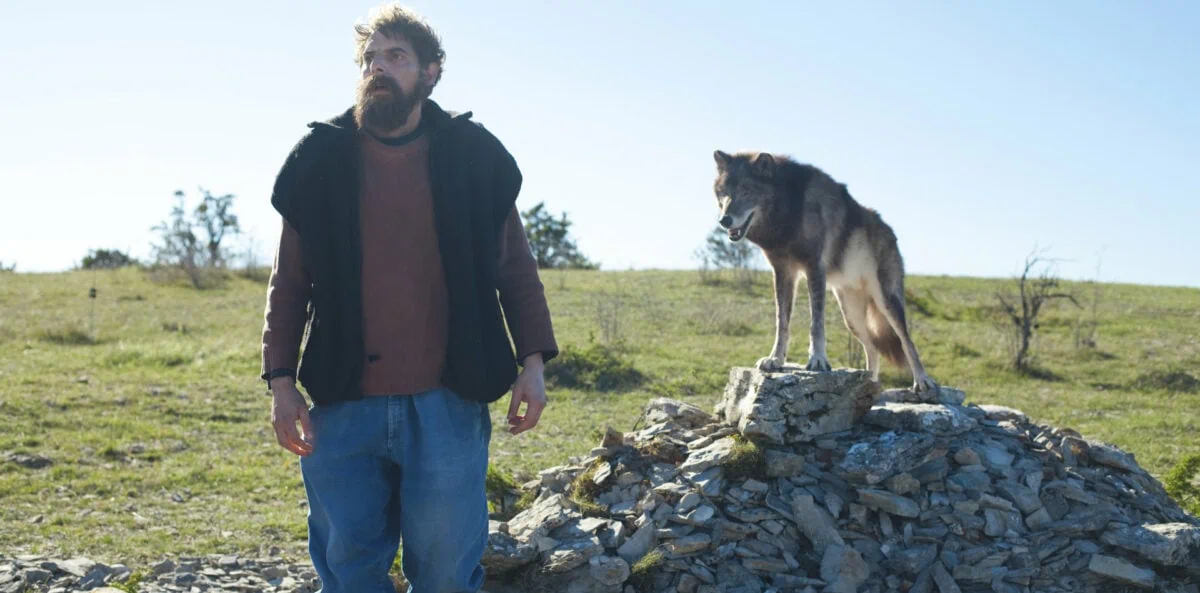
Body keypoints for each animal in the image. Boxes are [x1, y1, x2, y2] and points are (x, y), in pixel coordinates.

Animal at [705, 147, 940, 391]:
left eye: (746, 191)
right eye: (723, 193)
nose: (724, 220)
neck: (789, 209)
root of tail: (891, 232)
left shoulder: (814, 267)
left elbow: (816, 322)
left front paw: (817, 360)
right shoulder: (783, 272)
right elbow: (782, 322)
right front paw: (775, 359)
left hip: (886, 302)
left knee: (906, 341)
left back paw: (922, 381)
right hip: (851, 317)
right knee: (873, 347)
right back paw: (870, 385)